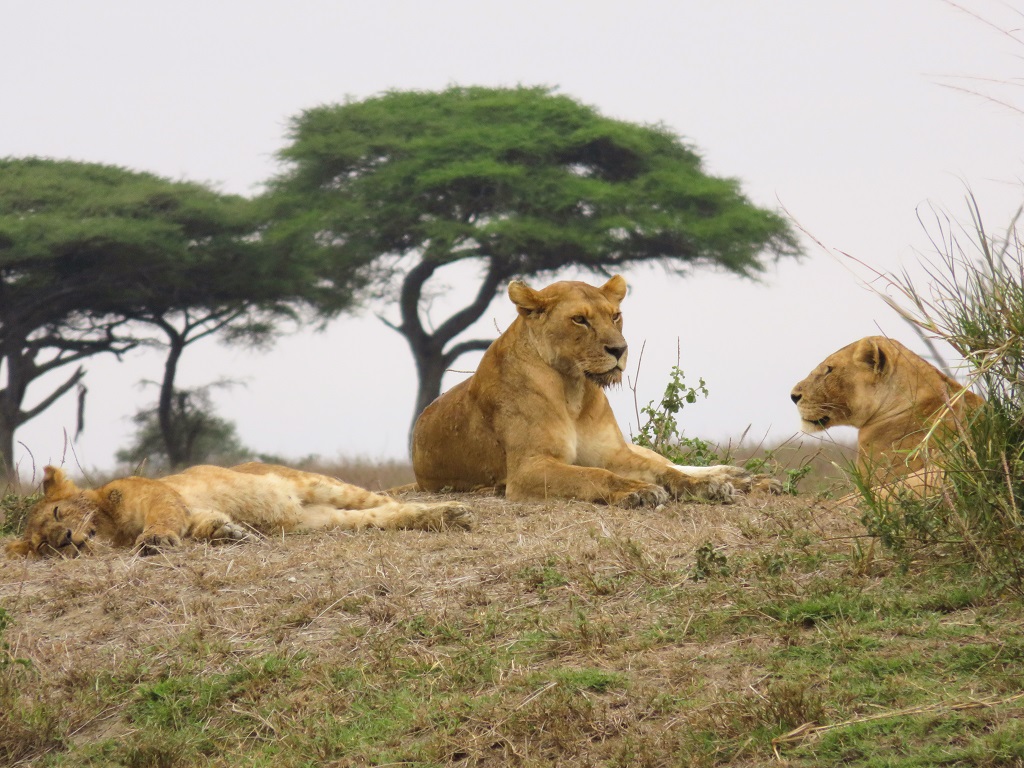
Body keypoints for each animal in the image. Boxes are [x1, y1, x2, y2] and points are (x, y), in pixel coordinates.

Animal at [413, 274, 761, 507]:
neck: (574, 389)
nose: (619, 350)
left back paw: (731, 476)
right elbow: (593, 475)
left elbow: (665, 471)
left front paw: (706, 487)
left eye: (615, 316)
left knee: (667, 461)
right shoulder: (528, 468)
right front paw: (638, 490)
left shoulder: (613, 453)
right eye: (580, 319)